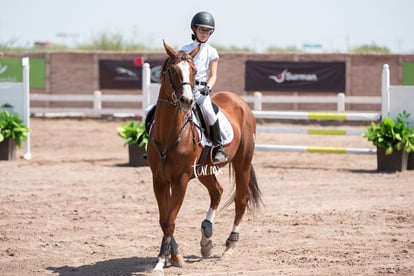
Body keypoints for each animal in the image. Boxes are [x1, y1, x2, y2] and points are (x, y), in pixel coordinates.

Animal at [147, 42, 260, 272]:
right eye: (172, 70)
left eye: (194, 71)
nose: (187, 100)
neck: (168, 133)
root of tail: (240, 102)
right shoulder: (159, 180)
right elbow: (164, 219)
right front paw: (173, 256)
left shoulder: (180, 180)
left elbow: (170, 219)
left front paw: (162, 261)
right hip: (204, 171)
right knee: (217, 192)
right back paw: (206, 239)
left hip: (242, 164)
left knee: (241, 200)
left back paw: (229, 246)